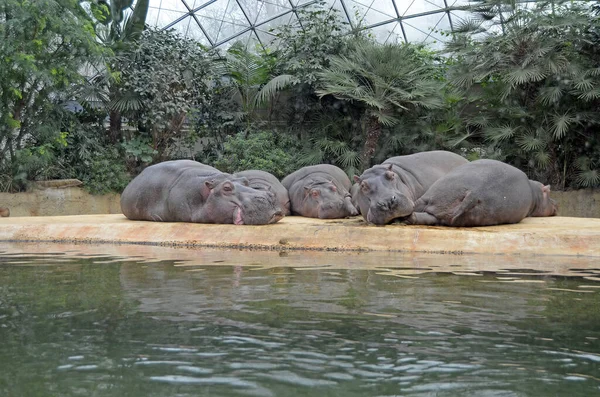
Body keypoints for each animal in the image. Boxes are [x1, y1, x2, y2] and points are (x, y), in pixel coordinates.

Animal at [400, 158, 560, 226]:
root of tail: (473, 193)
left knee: (423, 216)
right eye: (549, 192)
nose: (556, 203)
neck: (536, 193)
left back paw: (409, 219)